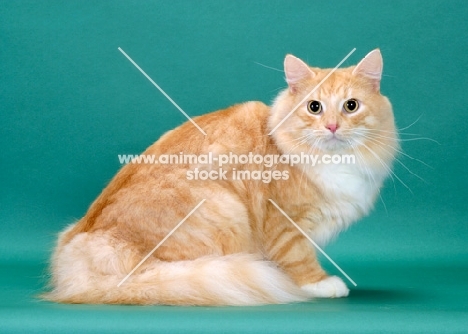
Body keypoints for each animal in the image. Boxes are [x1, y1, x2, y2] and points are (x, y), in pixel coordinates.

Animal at [44, 49, 396, 306]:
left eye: (351, 106)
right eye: (314, 107)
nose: (332, 126)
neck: (334, 161)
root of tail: (81, 248)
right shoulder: (286, 223)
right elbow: (298, 258)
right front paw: (319, 284)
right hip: (224, 207)